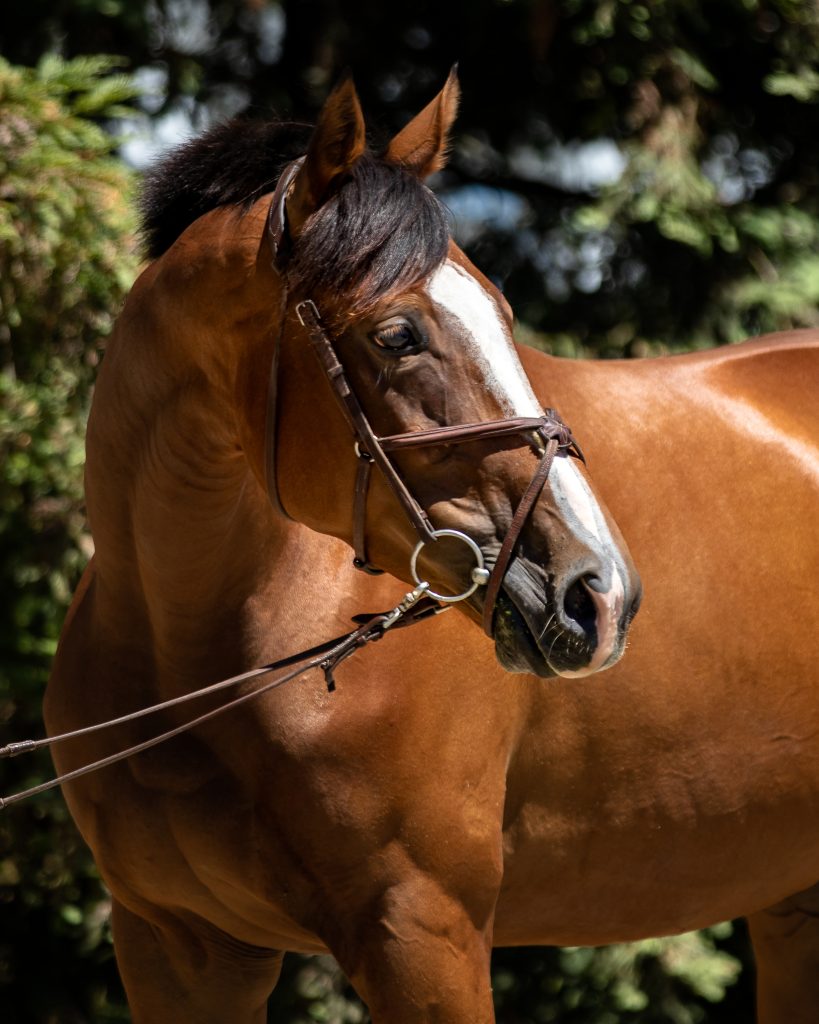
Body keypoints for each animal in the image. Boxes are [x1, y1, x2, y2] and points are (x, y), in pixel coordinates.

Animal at [44, 72, 818, 1024]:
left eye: (504, 317)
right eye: (397, 335)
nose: (598, 593)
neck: (193, 654)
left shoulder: (422, 931)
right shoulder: (175, 948)